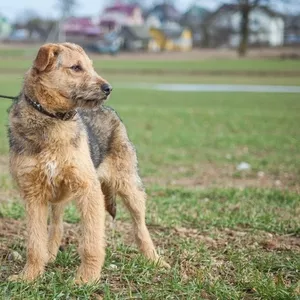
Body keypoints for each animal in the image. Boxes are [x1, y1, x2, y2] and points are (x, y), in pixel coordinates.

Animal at [8, 42, 169, 284]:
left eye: (91, 66)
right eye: (76, 67)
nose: (108, 88)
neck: (52, 118)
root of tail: (108, 110)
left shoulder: (88, 189)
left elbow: (92, 241)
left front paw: (87, 278)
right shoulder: (33, 194)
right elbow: (35, 243)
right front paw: (30, 276)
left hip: (130, 187)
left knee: (141, 227)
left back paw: (155, 260)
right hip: (57, 194)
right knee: (56, 225)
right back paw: (50, 255)